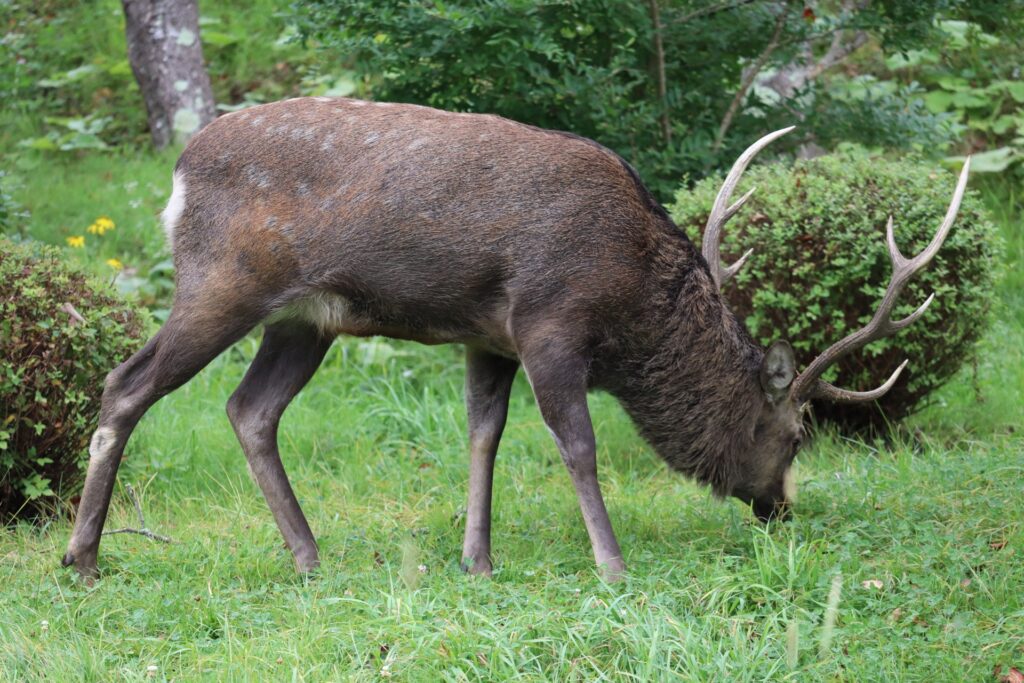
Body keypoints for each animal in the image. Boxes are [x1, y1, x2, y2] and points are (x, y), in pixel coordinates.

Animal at [59, 97, 970, 581]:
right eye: (796, 431)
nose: (780, 508)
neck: (632, 295)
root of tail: (179, 170)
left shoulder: (487, 335)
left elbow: (483, 433)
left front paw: (477, 559)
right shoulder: (548, 321)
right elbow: (577, 444)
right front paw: (612, 564)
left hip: (303, 317)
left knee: (250, 409)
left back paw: (310, 555)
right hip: (222, 282)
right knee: (125, 385)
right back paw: (84, 556)